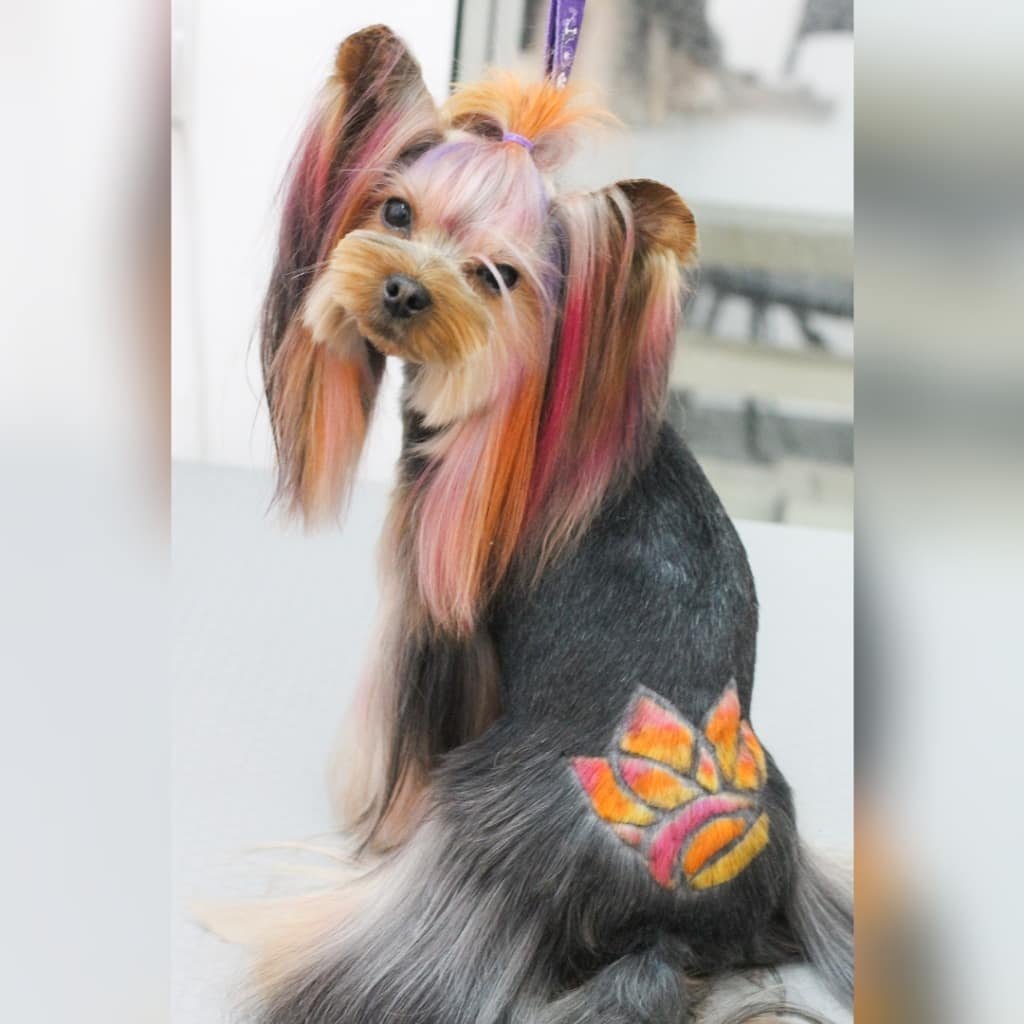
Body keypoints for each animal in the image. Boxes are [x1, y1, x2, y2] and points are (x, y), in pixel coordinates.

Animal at [243, 24, 851, 1024]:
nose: (403, 290)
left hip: (483, 819)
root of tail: (665, 925)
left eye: (498, 276)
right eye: (396, 210)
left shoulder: (429, 608)